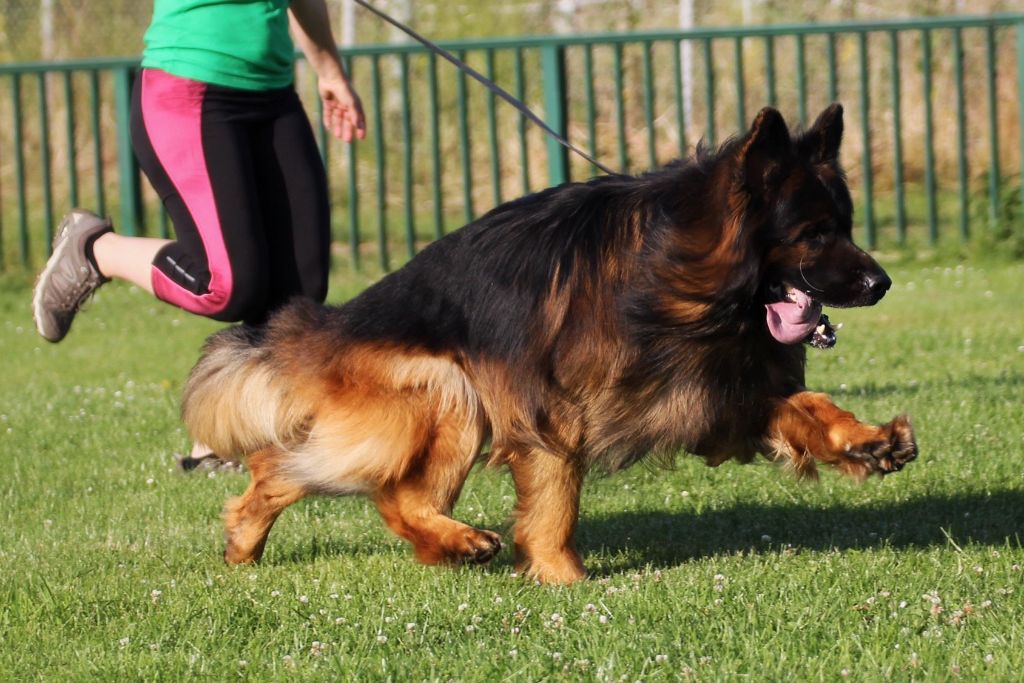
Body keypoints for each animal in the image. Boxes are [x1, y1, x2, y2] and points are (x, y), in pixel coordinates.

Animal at [184, 104, 921, 585]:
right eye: (816, 233)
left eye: (846, 224)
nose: (883, 282)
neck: (672, 273)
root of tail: (332, 322)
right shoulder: (550, 411)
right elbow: (555, 501)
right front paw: (561, 578)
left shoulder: (717, 385)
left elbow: (812, 405)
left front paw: (865, 440)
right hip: (446, 394)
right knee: (354, 483)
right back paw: (454, 539)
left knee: (317, 477)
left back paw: (251, 540)